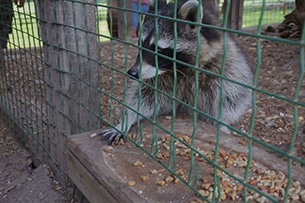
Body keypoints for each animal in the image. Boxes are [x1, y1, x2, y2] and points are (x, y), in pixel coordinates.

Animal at [99, 0, 252, 144]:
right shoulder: (157, 77)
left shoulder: (225, 66)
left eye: (159, 50)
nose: (133, 73)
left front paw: (221, 123)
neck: (178, 68)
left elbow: (230, 99)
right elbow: (146, 97)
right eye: (140, 44)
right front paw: (127, 119)